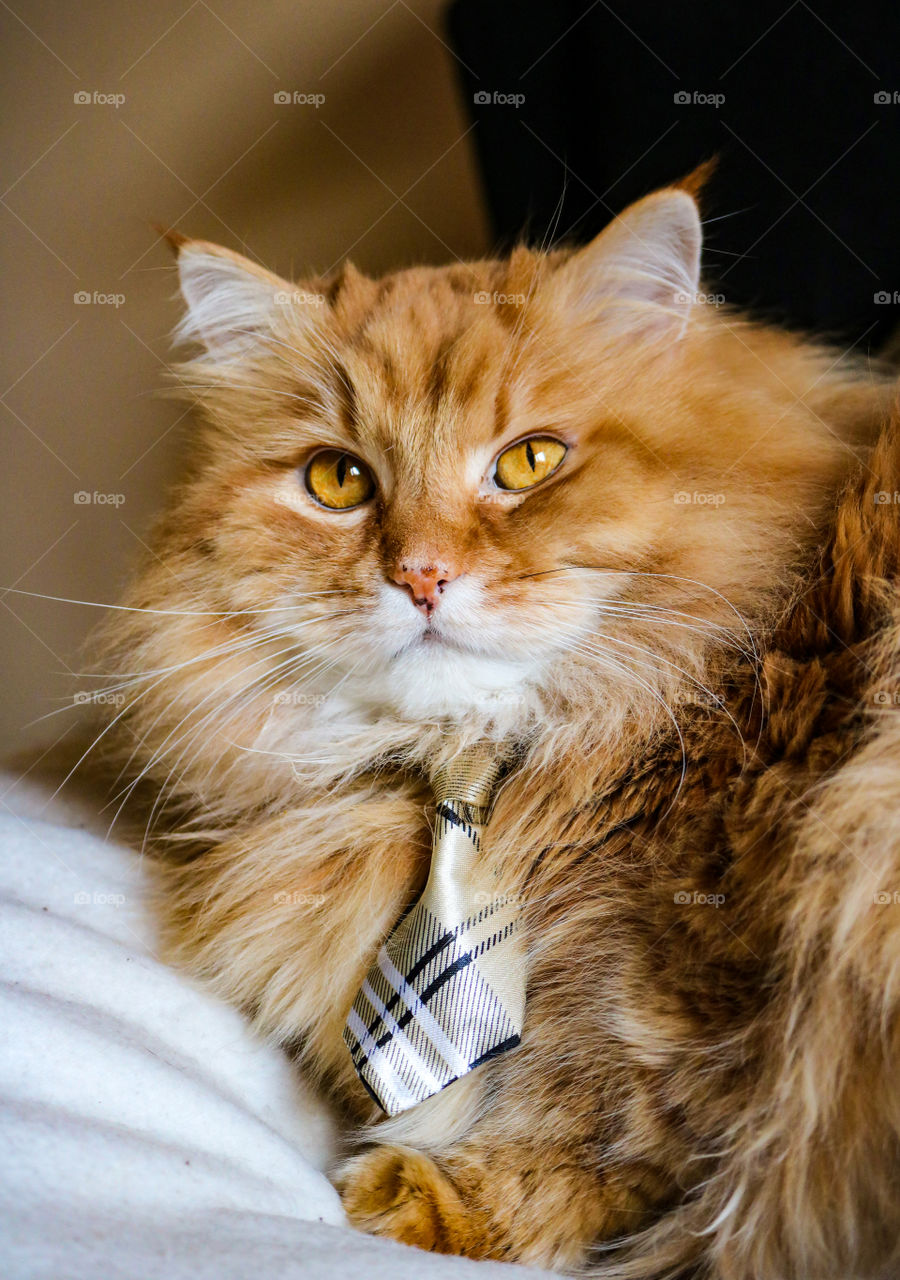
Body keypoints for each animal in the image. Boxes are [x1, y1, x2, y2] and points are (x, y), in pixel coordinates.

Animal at [91, 172, 900, 1280]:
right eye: (339, 481)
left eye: (529, 462)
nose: (422, 573)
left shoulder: (685, 994)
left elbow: (603, 1127)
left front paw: (418, 1202)